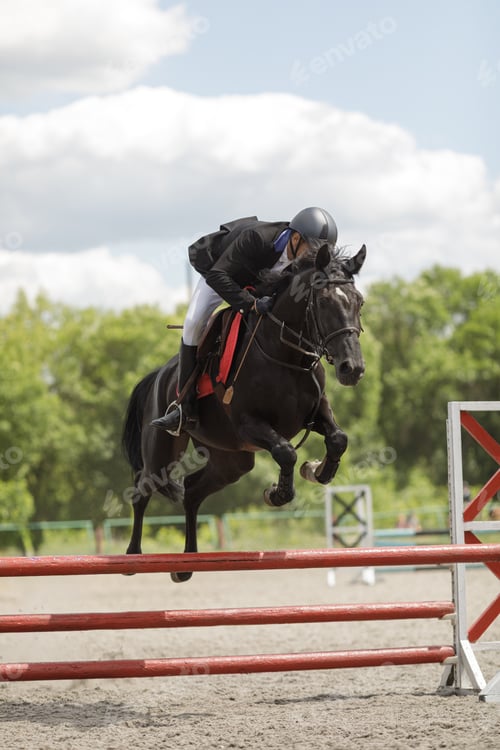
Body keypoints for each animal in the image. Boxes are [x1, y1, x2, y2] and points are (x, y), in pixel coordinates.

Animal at [122, 242, 366, 581]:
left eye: (359, 302)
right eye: (325, 301)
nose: (352, 369)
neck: (285, 354)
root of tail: (159, 374)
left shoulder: (314, 414)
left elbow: (338, 438)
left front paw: (317, 471)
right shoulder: (249, 424)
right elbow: (286, 452)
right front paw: (276, 494)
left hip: (231, 460)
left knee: (192, 492)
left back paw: (186, 563)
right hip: (161, 452)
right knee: (142, 489)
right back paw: (133, 557)